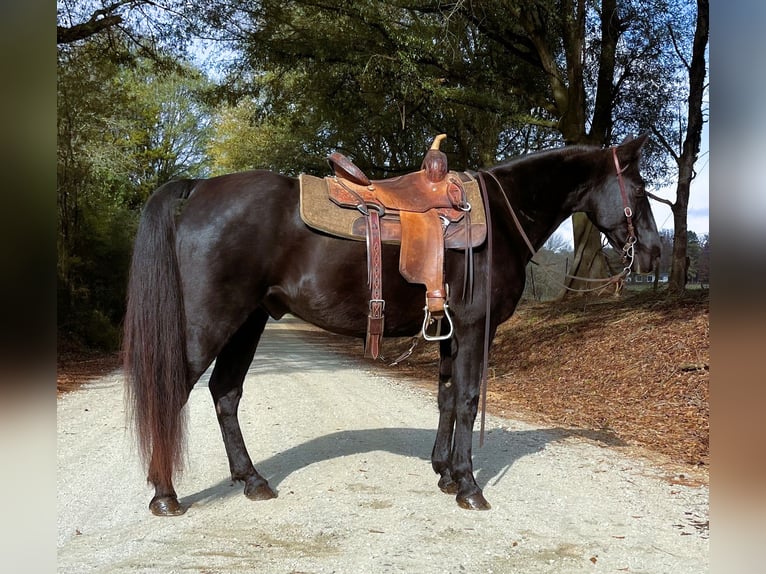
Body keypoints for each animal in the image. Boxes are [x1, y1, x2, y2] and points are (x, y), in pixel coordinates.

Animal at [123, 135, 664, 516]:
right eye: (639, 189)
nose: (655, 252)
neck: (501, 216)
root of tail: (200, 186)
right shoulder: (474, 329)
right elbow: (468, 400)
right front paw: (469, 486)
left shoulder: (450, 330)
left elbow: (447, 396)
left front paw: (444, 472)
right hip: (211, 323)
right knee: (174, 392)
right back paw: (165, 495)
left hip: (249, 322)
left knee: (226, 394)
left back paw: (252, 480)